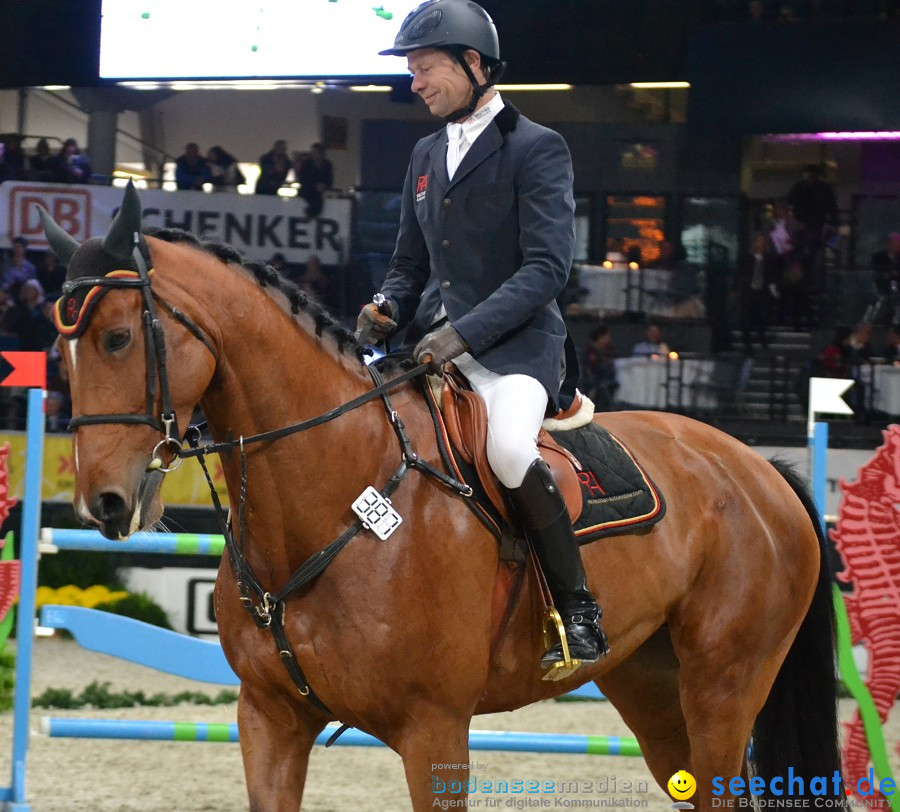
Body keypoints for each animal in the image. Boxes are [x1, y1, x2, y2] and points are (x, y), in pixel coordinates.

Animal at [44, 186, 844, 812]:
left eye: (117, 338)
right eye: (62, 355)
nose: (102, 504)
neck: (333, 497)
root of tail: (759, 466)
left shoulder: (434, 729)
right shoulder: (270, 720)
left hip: (724, 686)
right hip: (651, 684)